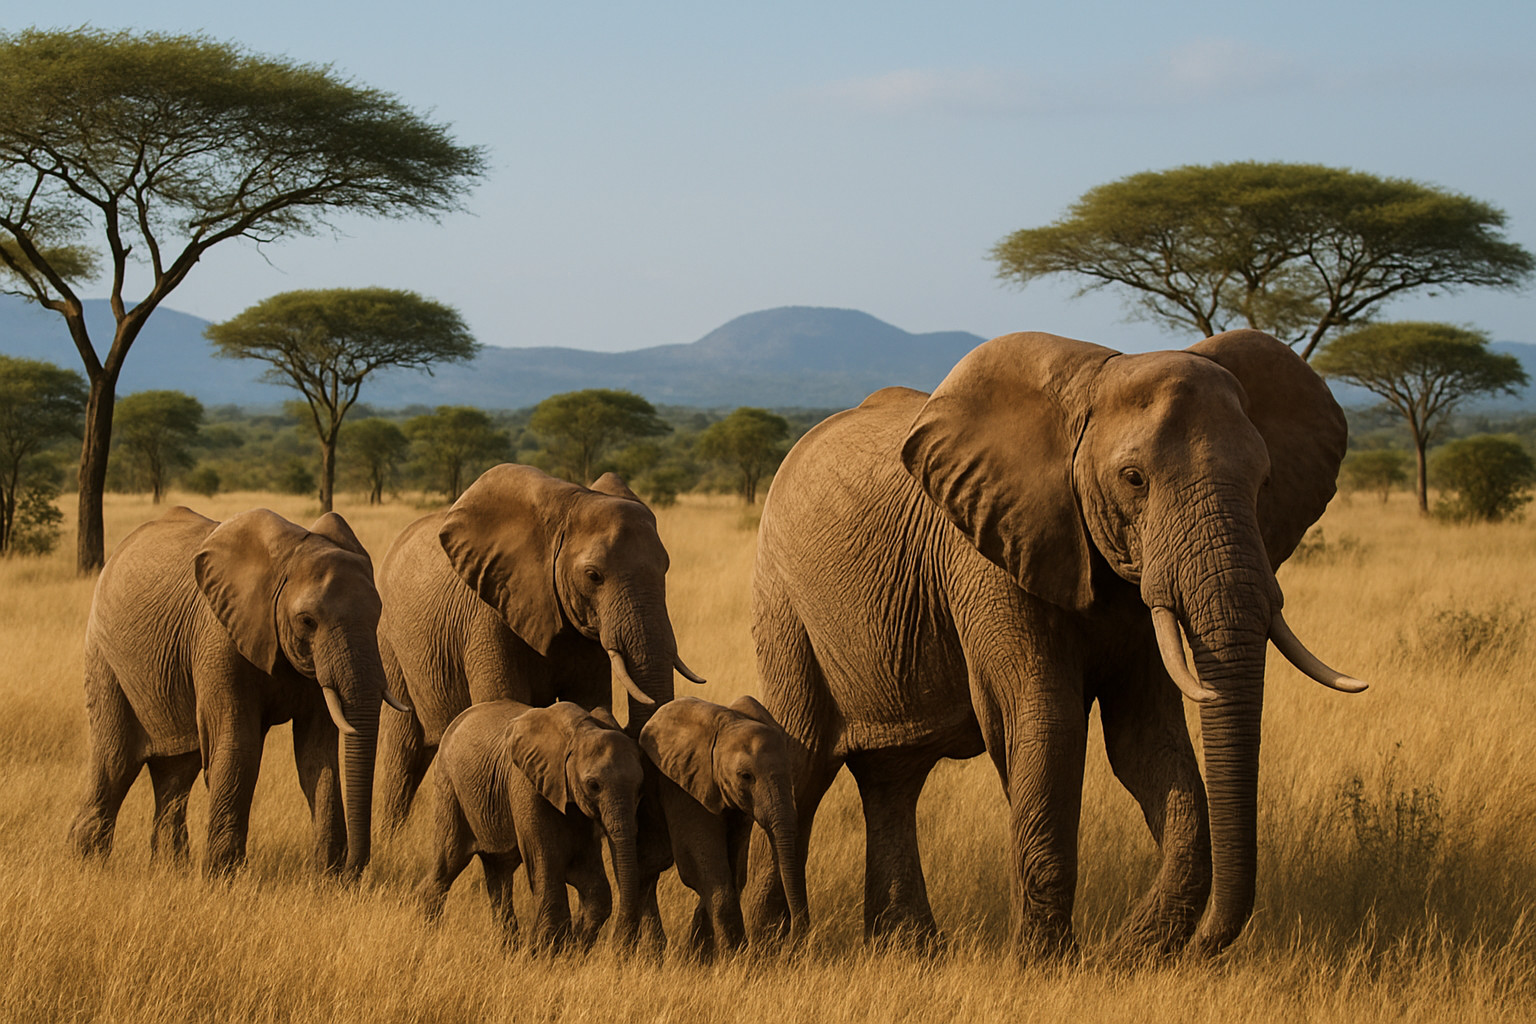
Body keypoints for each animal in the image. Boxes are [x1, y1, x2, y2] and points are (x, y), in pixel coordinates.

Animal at [68, 506, 401, 877]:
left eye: (378, 615)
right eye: (307, 621)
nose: (352, 872)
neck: (285, 560)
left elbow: (316, 754)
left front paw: (325, 876)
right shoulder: (219, 637)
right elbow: (238, 745)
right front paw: (223, 877)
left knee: (177, 771)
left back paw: (171, 870)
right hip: (105, 658)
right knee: (115, 762)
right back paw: (86, 865)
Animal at [374, 464, 704, 831]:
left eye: (666, 569)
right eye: (594, 576)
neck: (568, 508)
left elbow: (589, 700)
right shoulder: (487, 614)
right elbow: (502, 701)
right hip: (389, 640)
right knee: (404, 749)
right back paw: (391, 835)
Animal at [415, 700, 646, 951]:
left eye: (640, 788)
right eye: (593, 785)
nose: (619, 945)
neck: (582, 732)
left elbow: (593, 886)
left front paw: (572, 951)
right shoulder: (528, 784)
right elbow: (548, 864)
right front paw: (546, 951)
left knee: (500, 873)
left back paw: (508, 948)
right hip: (450, 787)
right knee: (449, 861)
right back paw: (428, 934)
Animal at [638, 695, 809, 957]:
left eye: (790, 770)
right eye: (745, 776)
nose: (792, 945)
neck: (729, 723)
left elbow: (735, 874)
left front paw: (699, 957)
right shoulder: (683, 785)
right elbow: (703, 871)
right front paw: (736, 959)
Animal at [742, 329, 1366, 961]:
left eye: (1265, 483)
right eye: (1134, 478)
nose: (1196, 949)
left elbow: (1146, 738)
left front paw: (1129, 956)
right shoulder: (989, 556)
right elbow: (1047, 723)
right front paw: (1044, 964)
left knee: (893, 776)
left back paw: (907, 951)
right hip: (784, 602)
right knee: (804, 759)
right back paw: (770, 949)